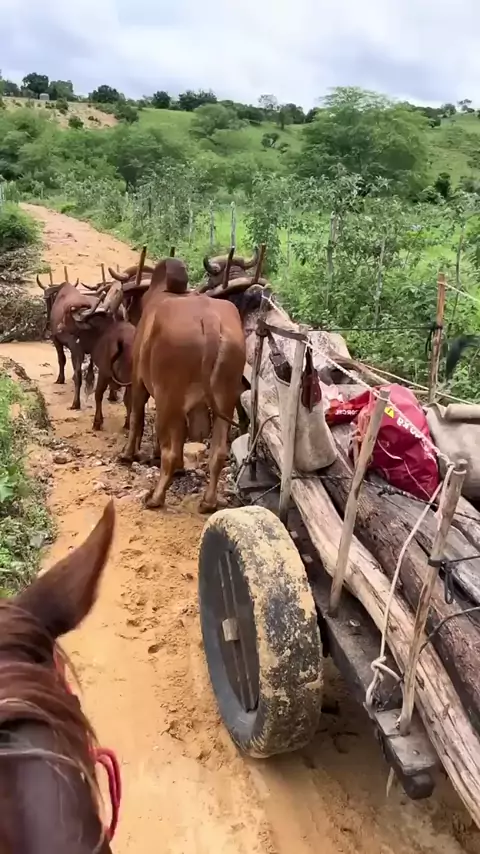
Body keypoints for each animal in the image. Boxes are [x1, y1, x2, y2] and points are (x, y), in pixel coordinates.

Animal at [120, 257, 246, 512]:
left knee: (172, 451)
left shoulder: (139, 380)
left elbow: (136, 418)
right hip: (225, 400)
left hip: (170, 398)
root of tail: (210, 321)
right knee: (218, 452)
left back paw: (155, 497)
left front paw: (128, 455)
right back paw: (208, 502)